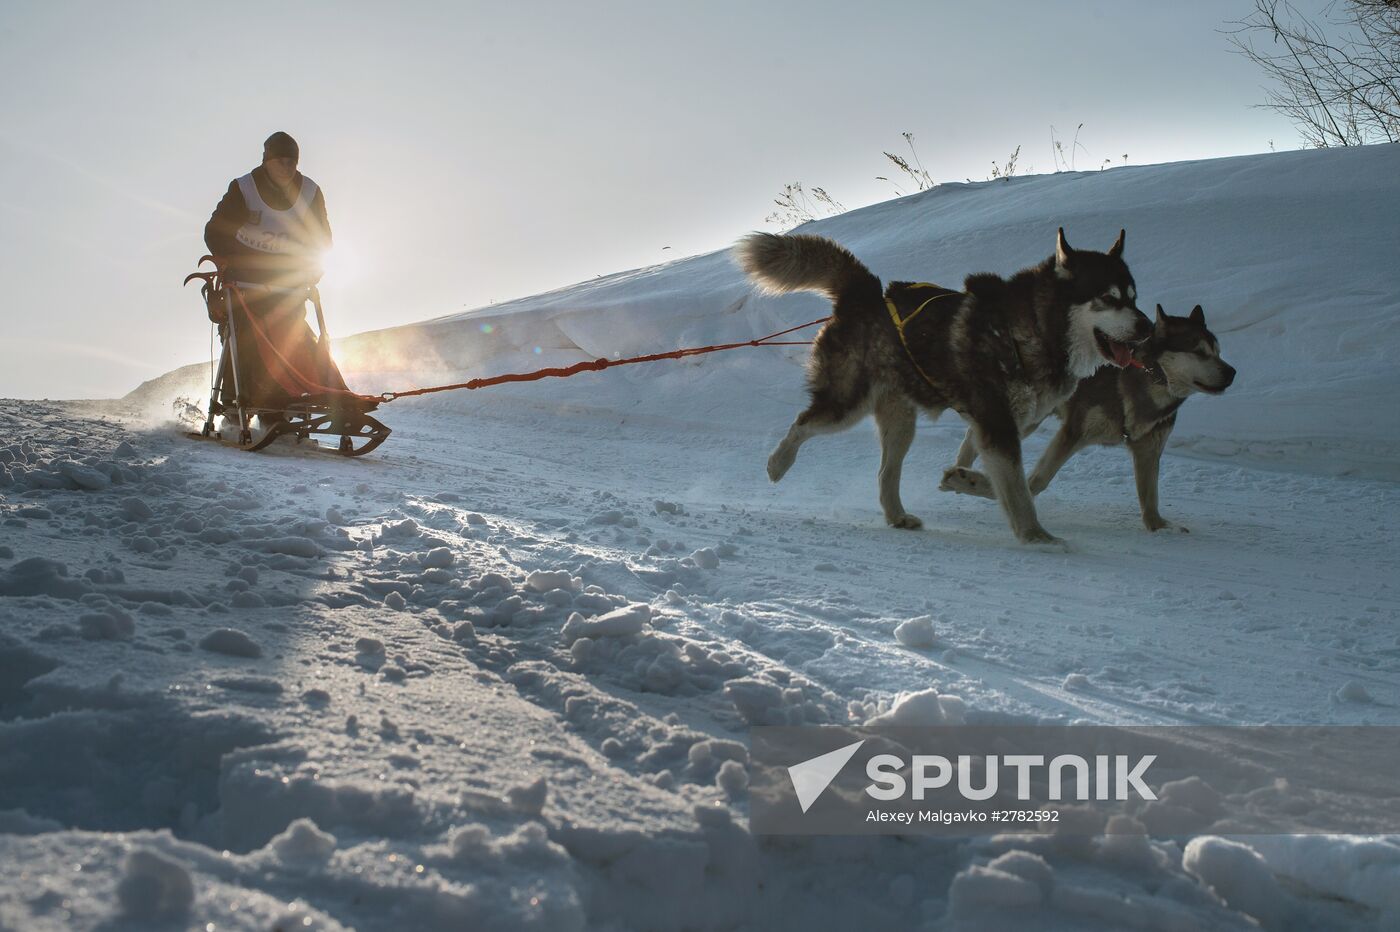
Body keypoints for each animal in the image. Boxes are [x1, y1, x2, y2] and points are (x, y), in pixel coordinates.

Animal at [733, 228, 1148, 540]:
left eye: (1133, 297)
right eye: (1108, 298)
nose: (1147, 326)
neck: (1032, 328)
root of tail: (863, 294)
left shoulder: (1006, 423)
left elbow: (1007, 476)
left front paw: (963, 479)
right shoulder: (997, 423)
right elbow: (1019, 490)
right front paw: (1037, 537)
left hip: (900, 423)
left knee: (885, 473)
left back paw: (897, 516)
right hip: (846, 405)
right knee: (801, 424)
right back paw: (777, 463)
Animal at [940, 303, 1237, 528]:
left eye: (1219, 351)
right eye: (1199, 351)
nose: (1232, 372)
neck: (1144, 380)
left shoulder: (1149, 450)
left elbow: (1150, 499)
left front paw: (1160, 527)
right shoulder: (1073, 433)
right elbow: (1036, 482)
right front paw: (974, 482)